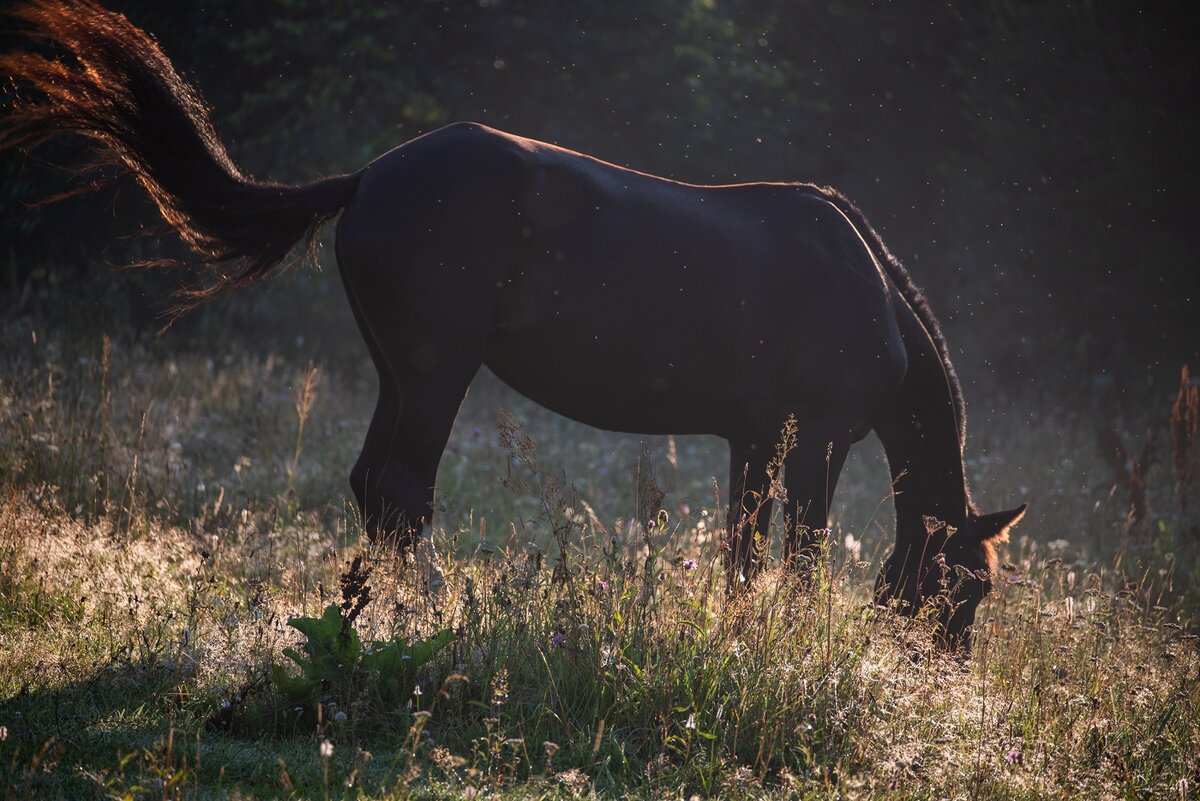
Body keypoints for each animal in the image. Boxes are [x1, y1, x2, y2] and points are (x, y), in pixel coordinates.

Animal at [4, 0, 1027, 652]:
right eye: (968, 584)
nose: (943, 667)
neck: (864, 287)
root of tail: (368, 178)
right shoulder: (817, 438)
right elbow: (804, 554)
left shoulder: (753, 439)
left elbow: (744, 551)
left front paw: (744, 638)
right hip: (437, 370)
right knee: (403, 492)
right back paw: (427, 616)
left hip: (401, 371)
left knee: (375, 490)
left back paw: (369, 615)